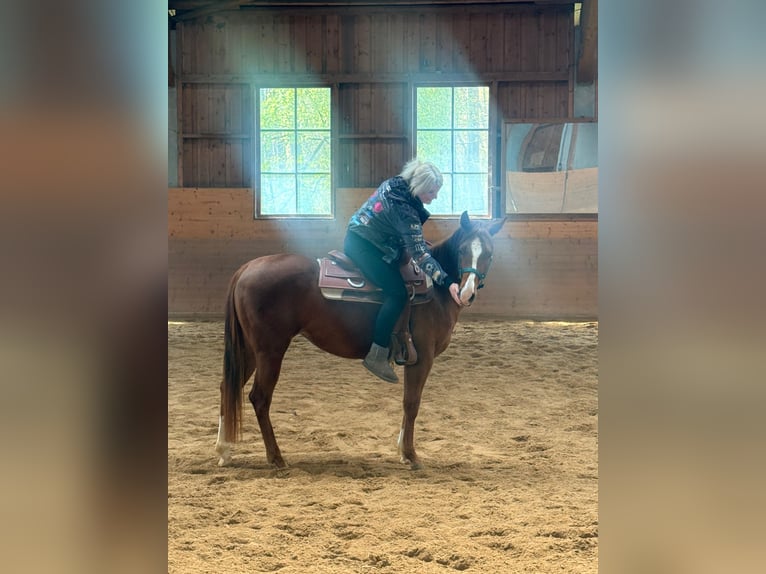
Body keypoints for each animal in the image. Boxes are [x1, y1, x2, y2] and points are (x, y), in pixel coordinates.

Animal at [215, 211, 506, 470]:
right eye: (463, 250)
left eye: (490, 254)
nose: (466, 293)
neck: (435, 289)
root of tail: (247, 268)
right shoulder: (421, 358)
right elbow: (411, 403)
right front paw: (410, 455)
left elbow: (408, 404)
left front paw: (403, 450)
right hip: (270, 350)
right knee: (260, 398)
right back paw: (276, 458)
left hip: (249, 350)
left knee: (227, 387)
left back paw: (224, 450)